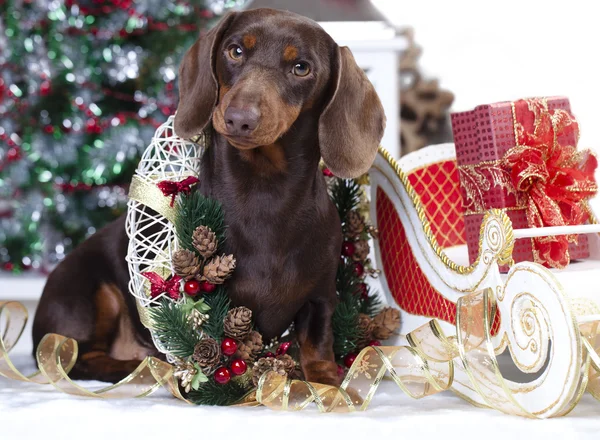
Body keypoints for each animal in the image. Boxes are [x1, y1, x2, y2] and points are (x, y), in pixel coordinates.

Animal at [32, 6, 386, 384]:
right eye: (236, 51)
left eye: (301, 67)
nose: (239, 119)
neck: (265, 192)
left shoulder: (320, 297)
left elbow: (318, 344)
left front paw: (328, 381)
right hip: (90, 297)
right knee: (76, 358)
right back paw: (140, 367)